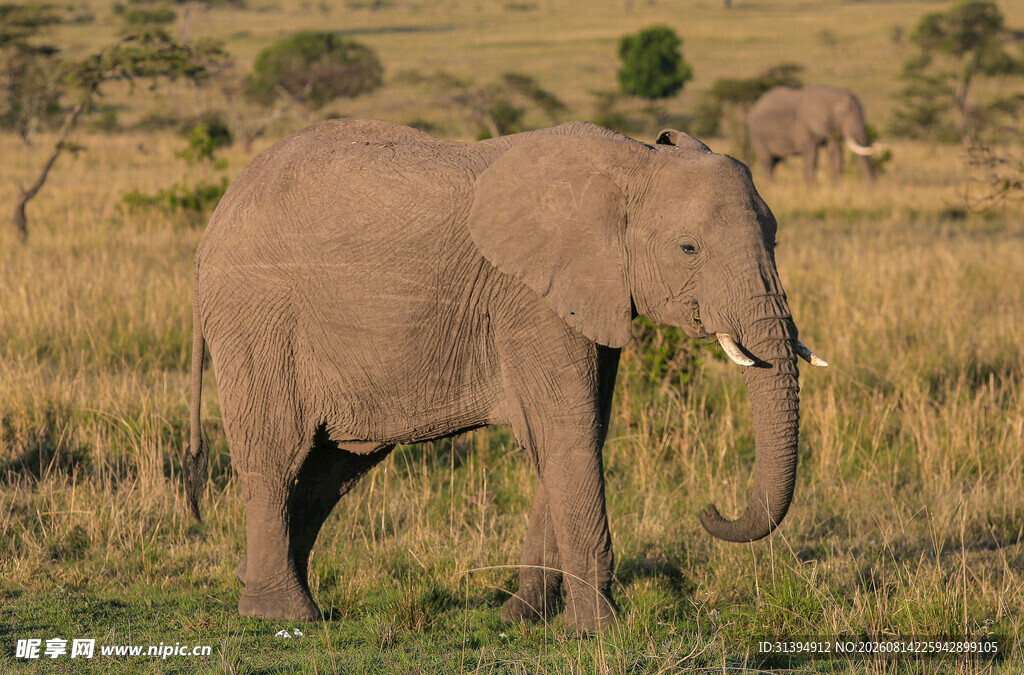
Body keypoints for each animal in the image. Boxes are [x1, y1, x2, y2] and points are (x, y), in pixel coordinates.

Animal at [182, 119, 828, 630]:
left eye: (775, 239)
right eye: (689, 248)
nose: (709, 510)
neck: (631, 162)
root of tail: (215, 217)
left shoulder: (589, 290)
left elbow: (577, 433)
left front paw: (521, 618)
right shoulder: (530, 297)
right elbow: (568, 431)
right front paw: (598, 630)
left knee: (332, 468)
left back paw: (257, 584)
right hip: (257, 318)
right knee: (277, 456)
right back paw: (282, 614)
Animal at [747, 85, 880, 183]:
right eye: (843, 113)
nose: (871, 187)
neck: (831, 95)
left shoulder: (830, 127)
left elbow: (835, 155)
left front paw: (837, 189)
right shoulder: (805, 126)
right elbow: (811, 157)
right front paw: (811, 189)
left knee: (775, 162)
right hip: (757, 136)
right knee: (767, 163)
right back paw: (773, 187)